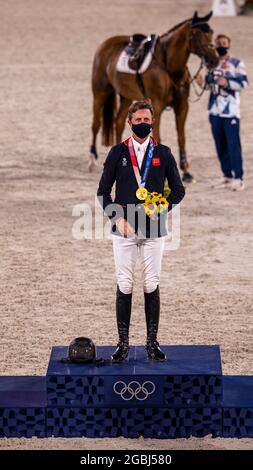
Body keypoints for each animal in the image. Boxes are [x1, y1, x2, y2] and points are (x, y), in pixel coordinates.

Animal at [89, 12, 217, 182]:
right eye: (196, 34)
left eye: (211, 33)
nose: (214, 60)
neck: (168, 65)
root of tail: (104, 45)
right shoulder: (157, 105)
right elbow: (158, 137)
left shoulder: (182, 106)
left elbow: (181, 137)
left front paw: (186, 172)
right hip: (100, 93)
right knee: (96, 124)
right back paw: (92, 160)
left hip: (126, 97)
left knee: (119, 122)